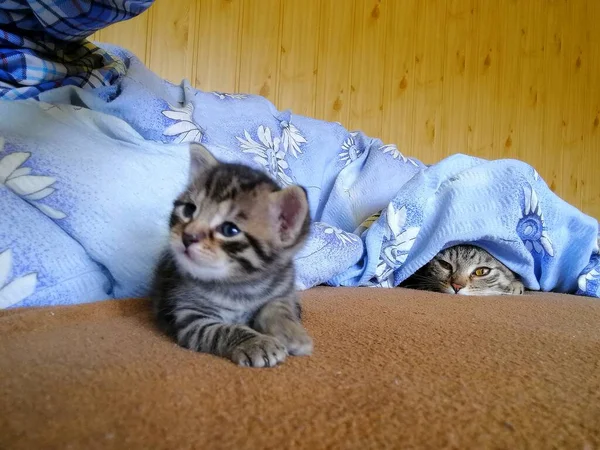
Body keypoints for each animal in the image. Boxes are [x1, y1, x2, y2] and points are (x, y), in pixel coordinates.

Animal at [150, 142, 312, 368]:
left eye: (229, 230)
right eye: (189, 210)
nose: (188, 236)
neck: (243, 286)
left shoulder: (283, 291)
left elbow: (278, 307)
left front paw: (292, 333)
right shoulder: (192, 316)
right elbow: (224, 330)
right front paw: (258, 343)